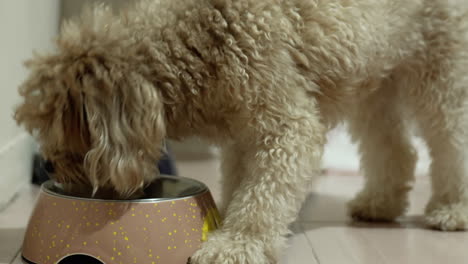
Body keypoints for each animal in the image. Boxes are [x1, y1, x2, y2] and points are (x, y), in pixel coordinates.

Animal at [13, 0, 468, 262]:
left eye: (57, 128)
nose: (48, 165)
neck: (200, 37)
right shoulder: (243, 132)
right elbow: (240, 186)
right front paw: (226, 226)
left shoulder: (286, 124)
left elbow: (262, 196)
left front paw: (235, 244)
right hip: (376, 77)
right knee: (397, 149)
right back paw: (379, 204)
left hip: (441, 72)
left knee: (451, 139)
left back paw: (453, 210)